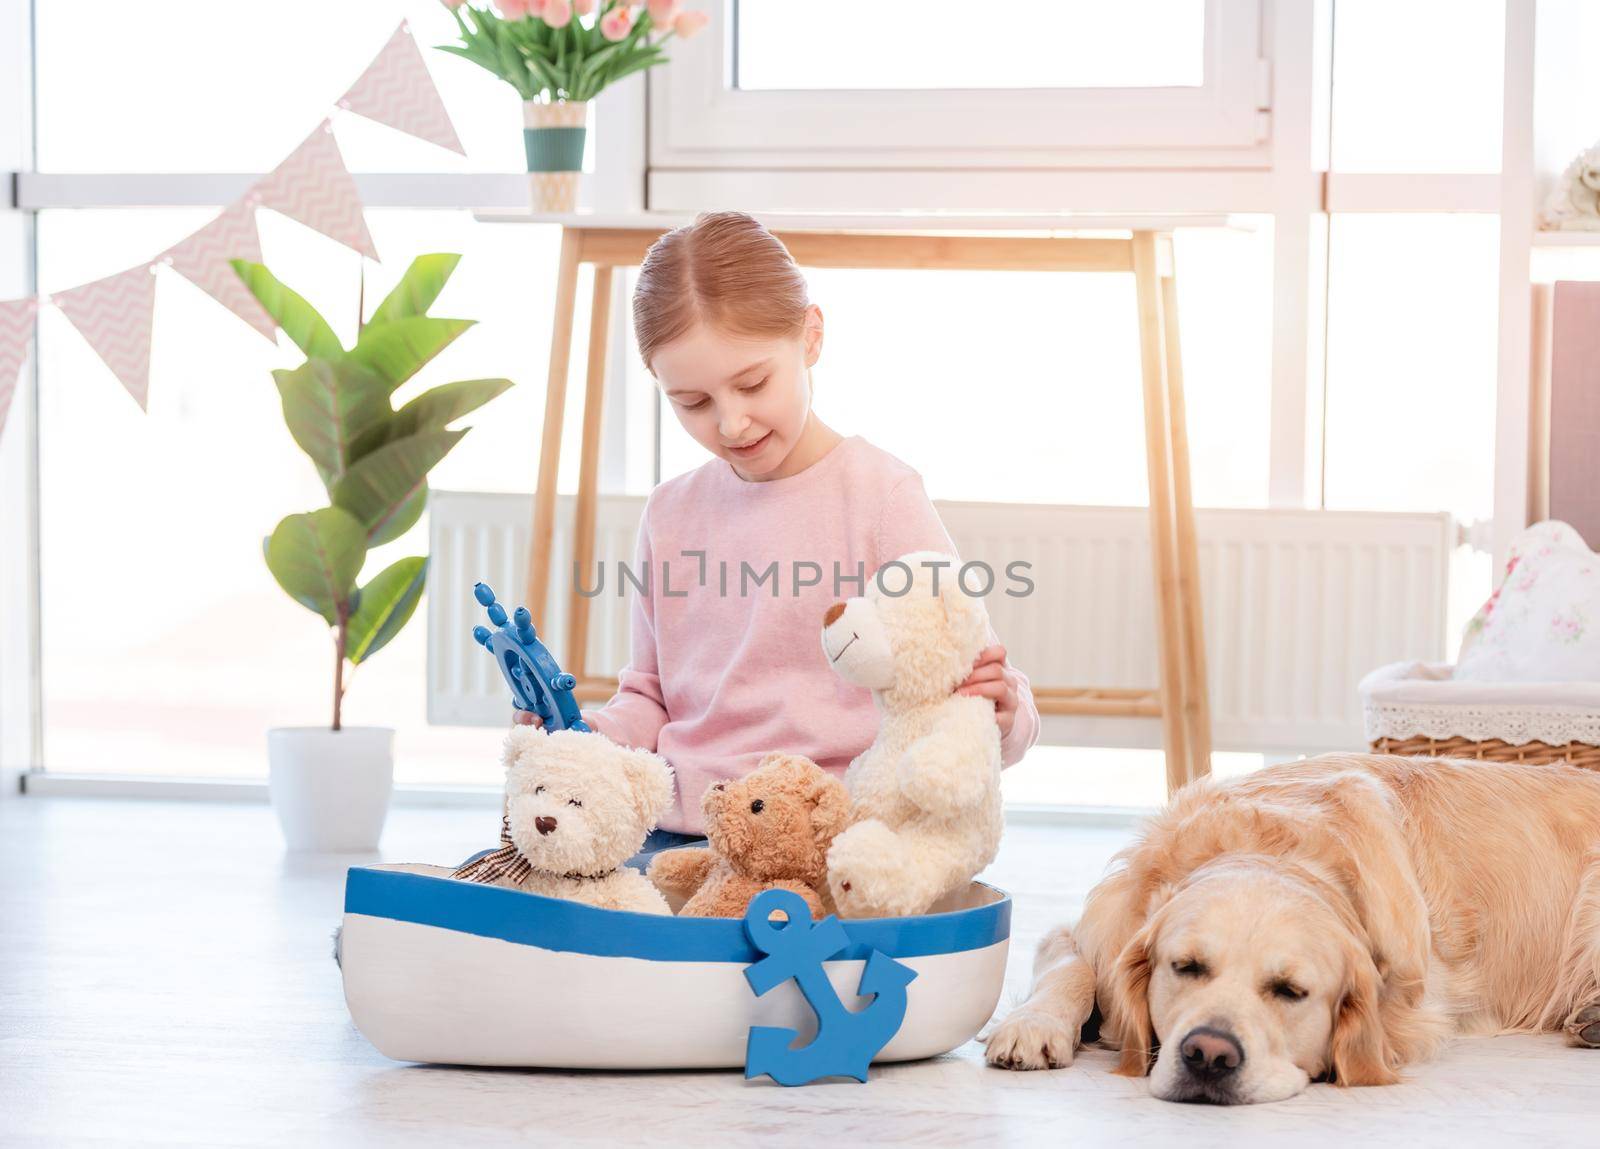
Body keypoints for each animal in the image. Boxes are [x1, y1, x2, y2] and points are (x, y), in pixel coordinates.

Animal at [979, 755, 1600, 1107]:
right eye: (1186, 967)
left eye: (1291, 992)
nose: (1208, 1055)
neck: (1273, 849)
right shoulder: (1102, 926)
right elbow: (1073, 966)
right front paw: (1031, 1027)